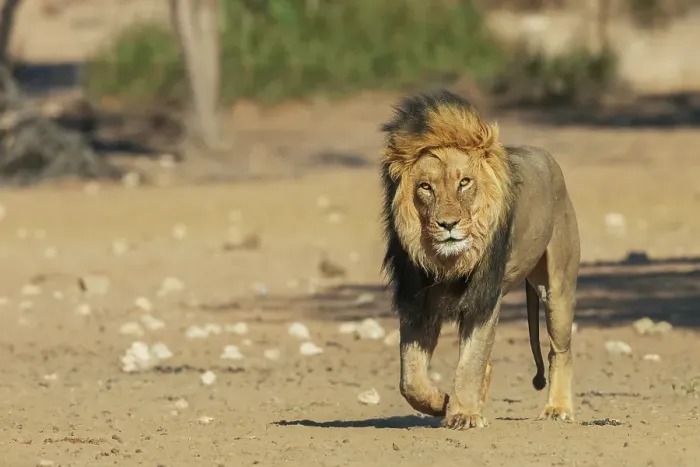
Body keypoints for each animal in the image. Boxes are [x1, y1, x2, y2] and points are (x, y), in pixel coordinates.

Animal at [380, 89, 580, 430]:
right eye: (425, 187)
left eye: (464, 182)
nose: (447, 224)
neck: (448, 263)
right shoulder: (416, 302)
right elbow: (411, 380)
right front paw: (444, 403)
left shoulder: (484, 298)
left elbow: (472, 360)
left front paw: (462, 413)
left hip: (558, 289)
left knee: (560, 350)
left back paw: (558, 408)